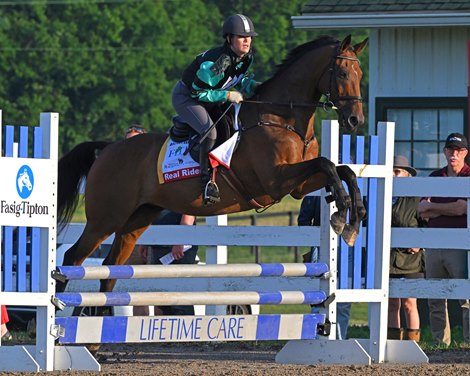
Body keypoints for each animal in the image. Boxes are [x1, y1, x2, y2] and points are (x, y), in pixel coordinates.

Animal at [57, 34, 370, 294]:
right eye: (343, 72)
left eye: (361, 74)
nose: (355, 120)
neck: (281, 118)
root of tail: (107, 150)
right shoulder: (276, 181)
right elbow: (327, 165)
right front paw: (341, 214)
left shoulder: (298, 185)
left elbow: (342, 170)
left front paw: (353, 220)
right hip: (105, 218)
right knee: (72, 259)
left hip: (137, 219)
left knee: (110, 270)